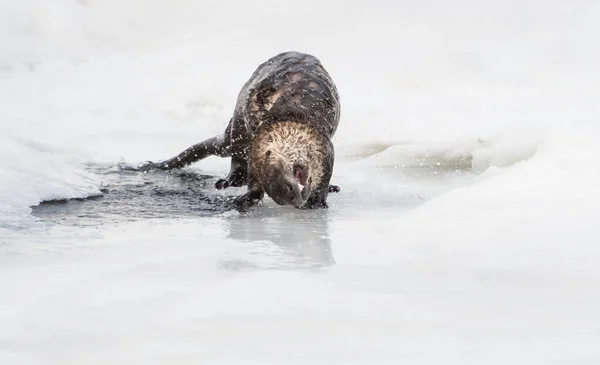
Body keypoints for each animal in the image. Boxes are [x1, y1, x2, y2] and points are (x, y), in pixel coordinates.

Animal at [138, 52, 340, 210]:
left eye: (291, 188)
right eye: (283, 199)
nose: (297, 201)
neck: (291, 121)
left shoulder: (324, 147)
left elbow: (324, 176)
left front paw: (317, 200)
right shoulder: (258, 150)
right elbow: (254, 183)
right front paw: (246, 198)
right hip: (238, 133)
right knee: (236, 160)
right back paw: (230, 180)